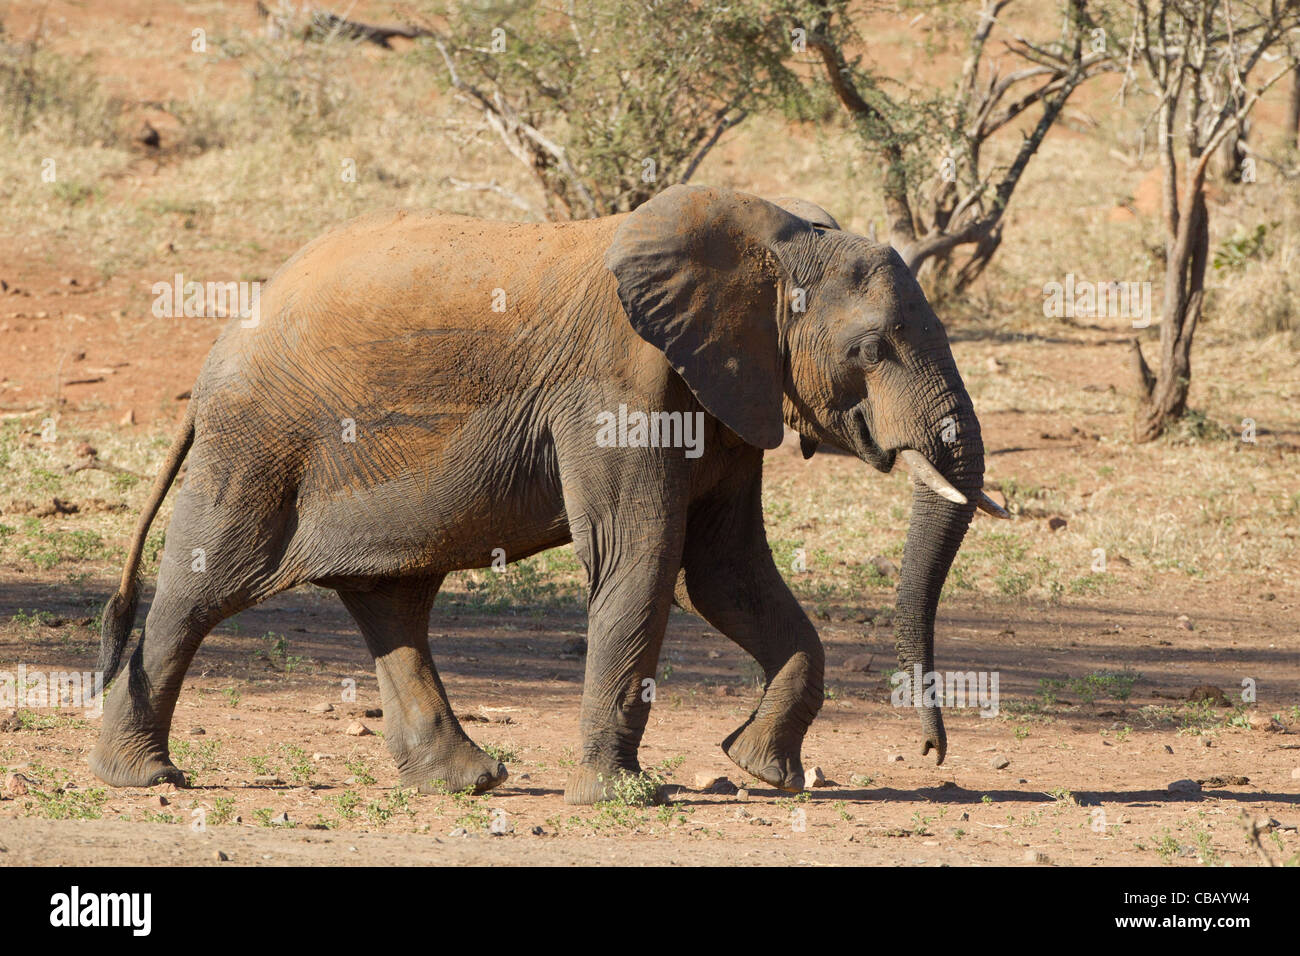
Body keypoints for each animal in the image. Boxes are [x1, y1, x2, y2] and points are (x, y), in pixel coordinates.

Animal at [91, 183, 1003, 806]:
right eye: (870, 349)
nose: (933, 754)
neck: (774, 240)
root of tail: (220, 347)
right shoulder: (615, 387)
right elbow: (644, 558)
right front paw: (628, 797)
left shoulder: (730, 395)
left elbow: (727, 575)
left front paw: (758, 769)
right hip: (257, 444)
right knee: (202, 588)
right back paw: (144, 778)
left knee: (392, 601)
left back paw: (468, 782)